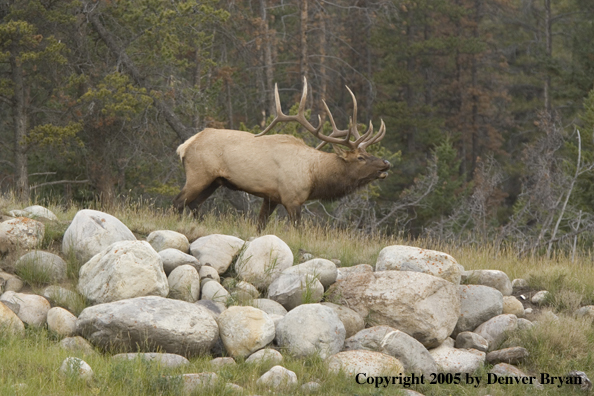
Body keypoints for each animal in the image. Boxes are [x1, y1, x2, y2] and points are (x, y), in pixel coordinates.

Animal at [173, 77, 390, 230]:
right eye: (361, 157)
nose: (386, 163)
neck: (314, 175)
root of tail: (184, 145)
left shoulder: (271, 197)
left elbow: (260, 225)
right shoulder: (292, 198)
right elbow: (298, 229)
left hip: (214, 181)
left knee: (194, 204)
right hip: (199, 175)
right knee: (178, 203)